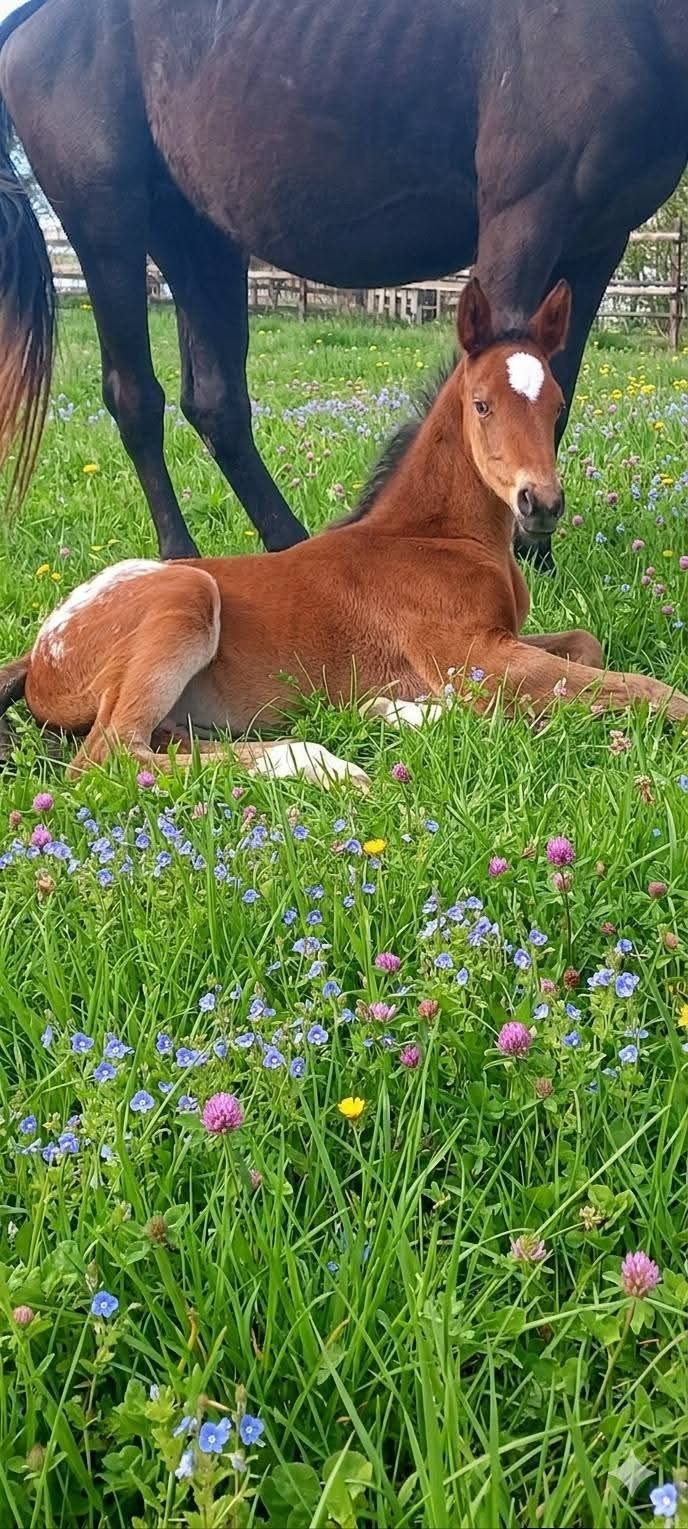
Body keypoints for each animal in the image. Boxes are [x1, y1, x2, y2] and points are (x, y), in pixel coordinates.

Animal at [0, 0, 685, 576]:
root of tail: (33, 21)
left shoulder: (597, 244)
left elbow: (554, 389)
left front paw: (535, 559)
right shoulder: (526, 218)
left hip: (197, 234)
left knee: (216, 402)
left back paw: (292, 547)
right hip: (107, 223)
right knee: (135, 397)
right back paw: (181, 559)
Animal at [1, 278, 685, 789]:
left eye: (558, 403)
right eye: (482, 404)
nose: (540, 502)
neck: (434, 540)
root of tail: (41, 650)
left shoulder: (501, 642)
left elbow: (588, 647)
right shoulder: (473, 657)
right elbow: (643, 688)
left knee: (167, 741)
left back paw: (393, 712)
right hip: (185, 598)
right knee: (110, 755)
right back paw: (324, 761)